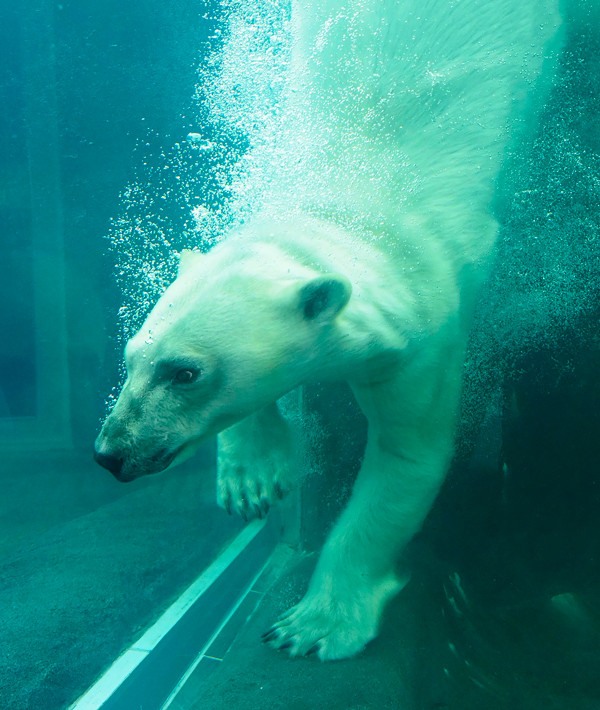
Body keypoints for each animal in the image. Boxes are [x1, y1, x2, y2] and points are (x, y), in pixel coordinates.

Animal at [95, 0, 564, 660]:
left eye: (184, 372)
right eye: (131, 355)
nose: (111, 452)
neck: (347, 208)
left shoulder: (425, 338)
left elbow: (407, 458)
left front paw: (313, 625)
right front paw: (253, 478)